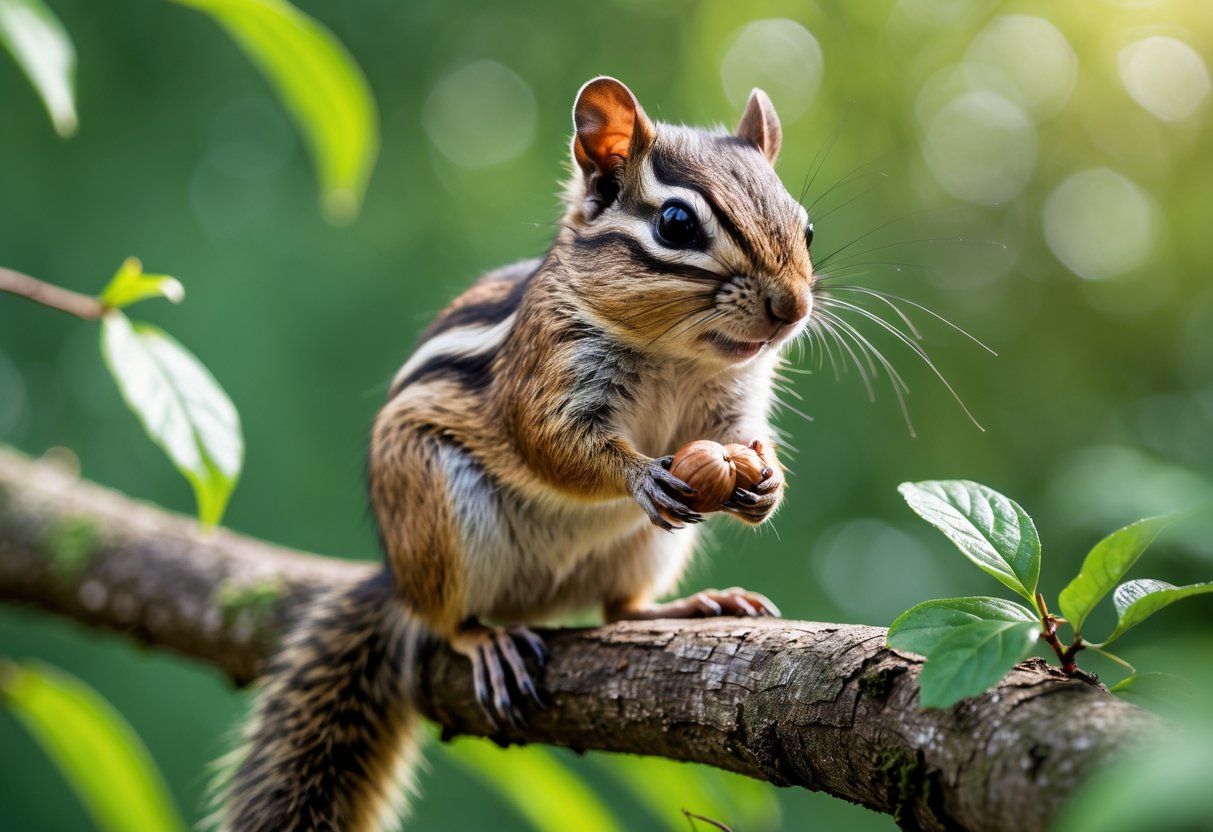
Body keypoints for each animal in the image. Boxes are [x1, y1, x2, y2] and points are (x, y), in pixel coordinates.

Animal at [217, 77, 814, 832]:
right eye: (677, 225)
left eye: (806, 227)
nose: (792, 307)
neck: (675, 355)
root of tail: (397, 579)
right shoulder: (544, 373)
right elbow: (552, 443)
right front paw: (639, 475)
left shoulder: (732, 402)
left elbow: (744, 438)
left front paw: (768, 483)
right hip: (437, 510)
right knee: (446, 621)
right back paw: (487, 640)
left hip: (643, 553)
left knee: (616, 610)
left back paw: (687, 607)